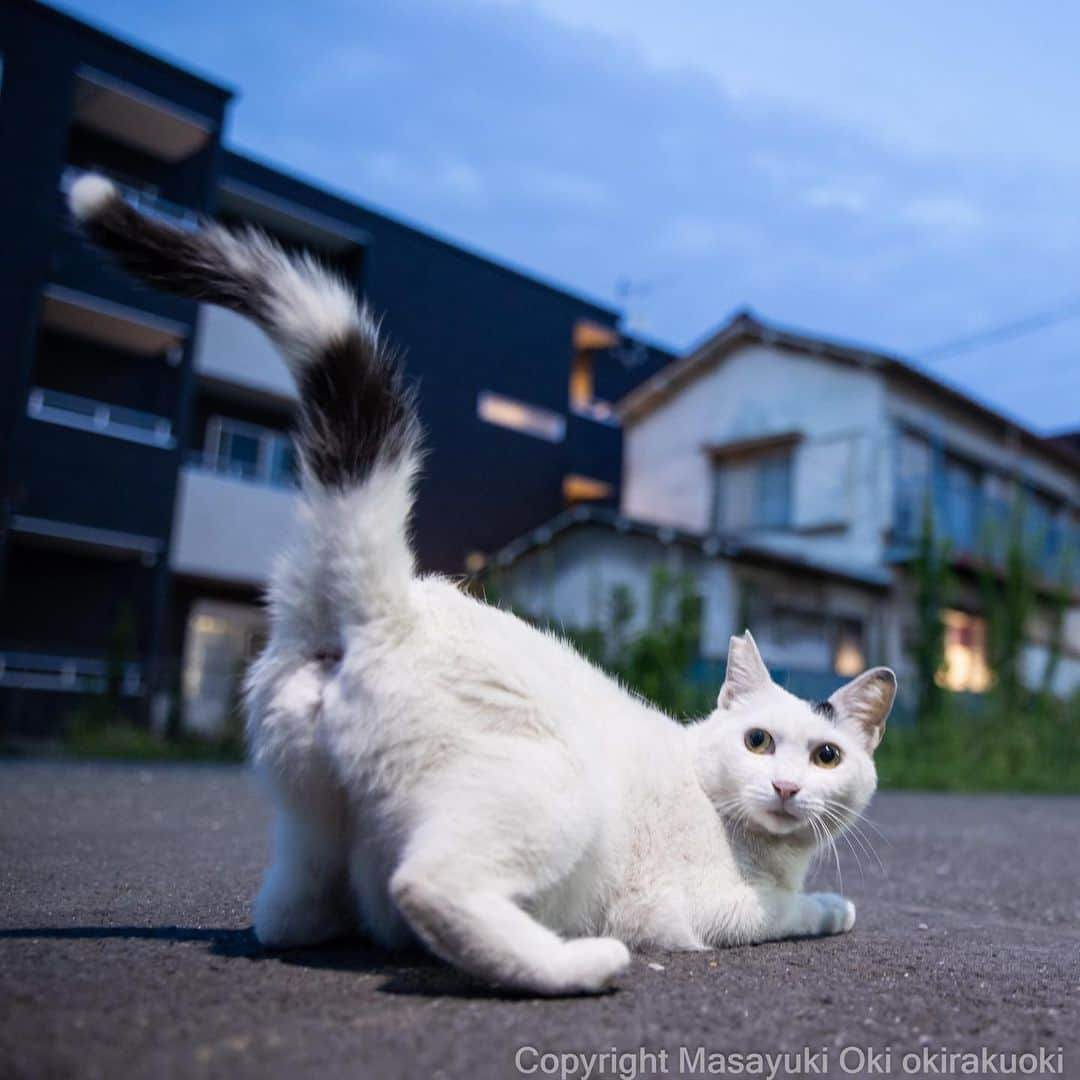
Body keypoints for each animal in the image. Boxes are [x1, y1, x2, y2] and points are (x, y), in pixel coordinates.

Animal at [67, 174, 894, 993]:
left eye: (826, 757)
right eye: (758, 742)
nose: (786, 789)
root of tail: (390, 607)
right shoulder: (702, 906)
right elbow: (791, 912)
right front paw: (832, 906)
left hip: (305, 822)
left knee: (288, 916)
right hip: (550, 797)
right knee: (430, 887)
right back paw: (576, 964)